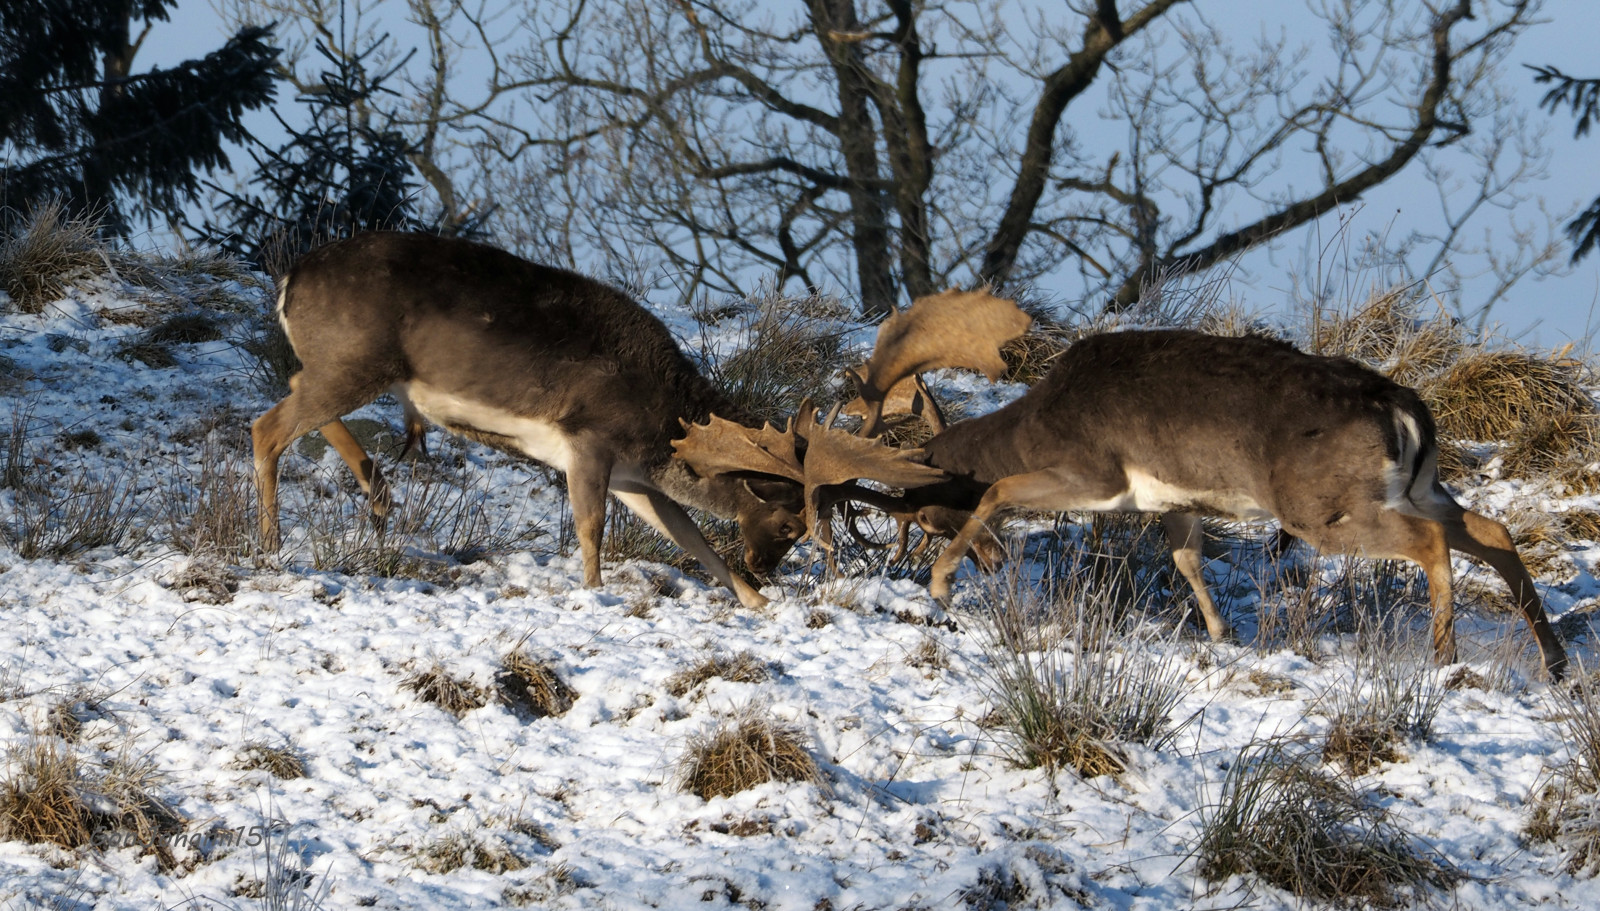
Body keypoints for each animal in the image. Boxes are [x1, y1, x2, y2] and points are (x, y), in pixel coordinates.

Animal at [253, 231, 824, 608]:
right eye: (790, 523)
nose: (763, 568)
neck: (663, 431)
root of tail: (288, 281)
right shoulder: (589, 437)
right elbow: (591, 526)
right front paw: (594, 591)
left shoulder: (633, 477)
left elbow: (692, 538)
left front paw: (756, 604)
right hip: (356, 361)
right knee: (267, 427)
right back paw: (273, 546)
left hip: (343, 366)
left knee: (294, 392)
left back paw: (377, 491)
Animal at [678, 290, 1570, 681]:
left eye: (928, 520)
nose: (973, 564)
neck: (1038, 419)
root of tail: (1404, 406)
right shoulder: (1169, 501)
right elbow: (1187, 560)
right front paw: (1220, 634)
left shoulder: (1096, 471)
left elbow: (999, 492)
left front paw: (939, 582)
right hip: (1415, 486)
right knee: (1491, 532)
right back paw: (1556, 659)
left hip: (1325, 503)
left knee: (1431, 546)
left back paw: (1444, 652)